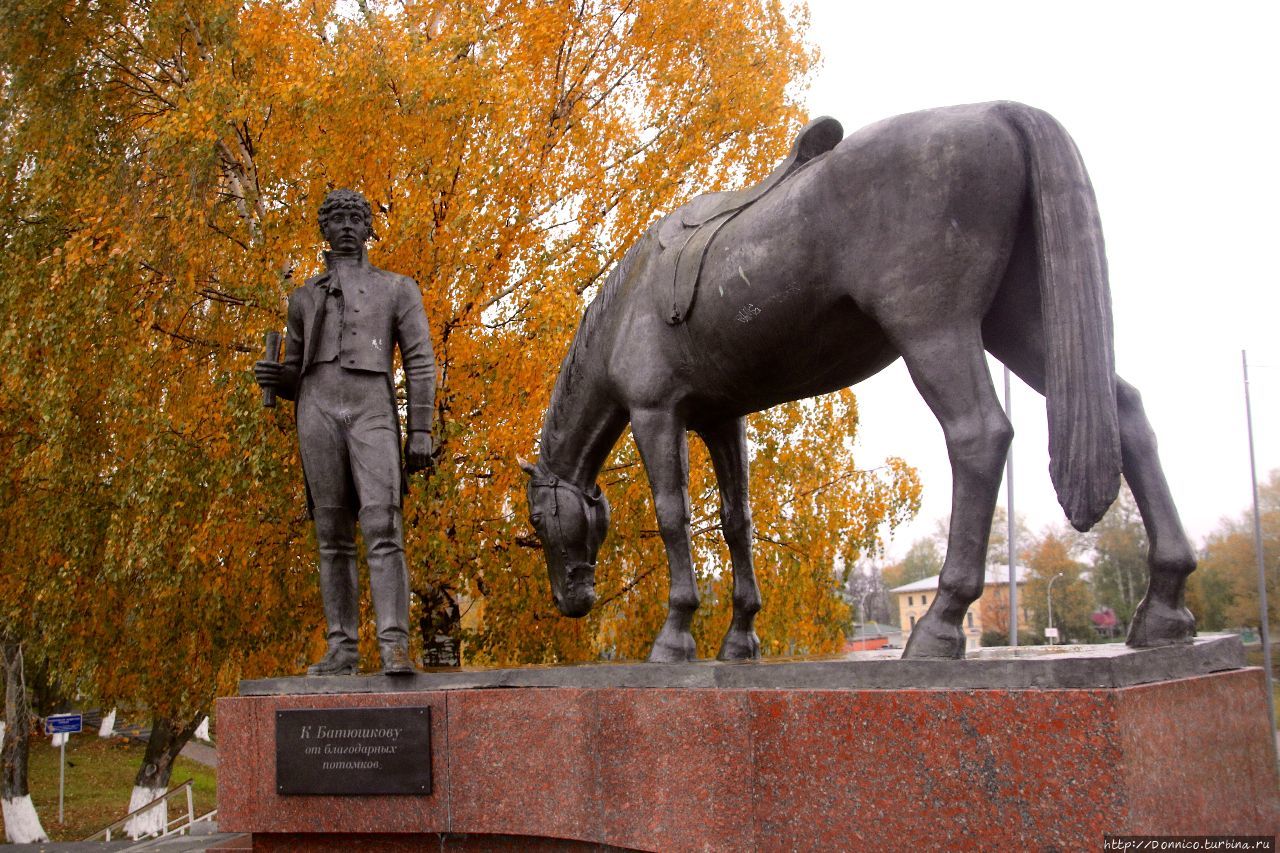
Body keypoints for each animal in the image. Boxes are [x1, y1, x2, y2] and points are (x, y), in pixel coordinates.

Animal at [514, 99, 1192, 655]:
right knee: (1127, 415)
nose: (571, 601)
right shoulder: (721, 418)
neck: (627, 307)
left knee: (979, 435)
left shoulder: (657, 413)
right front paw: (740, 637)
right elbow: (737, 523)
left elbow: (672, 514)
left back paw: (941, 623)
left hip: (934, 331)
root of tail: (996, 112)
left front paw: (676, 635)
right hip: (1022, 327)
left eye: (540, 522)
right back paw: (1164, 609)